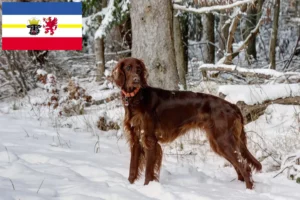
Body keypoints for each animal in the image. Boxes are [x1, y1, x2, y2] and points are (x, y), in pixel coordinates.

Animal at [111, 57, 262, 188]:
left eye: (138, 69)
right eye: (128, 68)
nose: (136, 80)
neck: (136, 98)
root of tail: (233, 106)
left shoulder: (149, 140)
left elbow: (149, 171)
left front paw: (148, 188)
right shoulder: (136, 139)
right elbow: (132, 168)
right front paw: (130, 186)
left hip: (223, 140)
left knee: (245, 167)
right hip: (219, 142)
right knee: (239, 167)